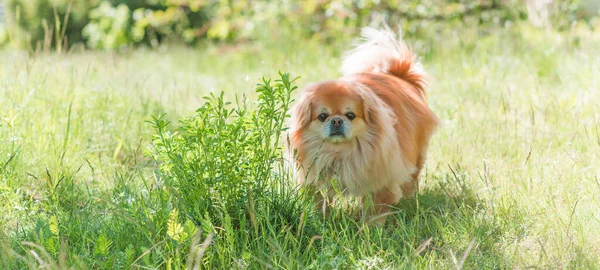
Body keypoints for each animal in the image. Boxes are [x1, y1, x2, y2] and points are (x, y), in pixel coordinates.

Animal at [288, 26, 438, 224]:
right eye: (322, 116)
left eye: (350, 115)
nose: (336, 120)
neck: (340, 153)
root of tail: (400, 76)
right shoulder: (313, 178)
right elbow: (319, 202)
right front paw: (320, 220)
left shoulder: (381, 181)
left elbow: (375, 210)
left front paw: (370, 229)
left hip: (416, 155)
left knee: (411, 179)